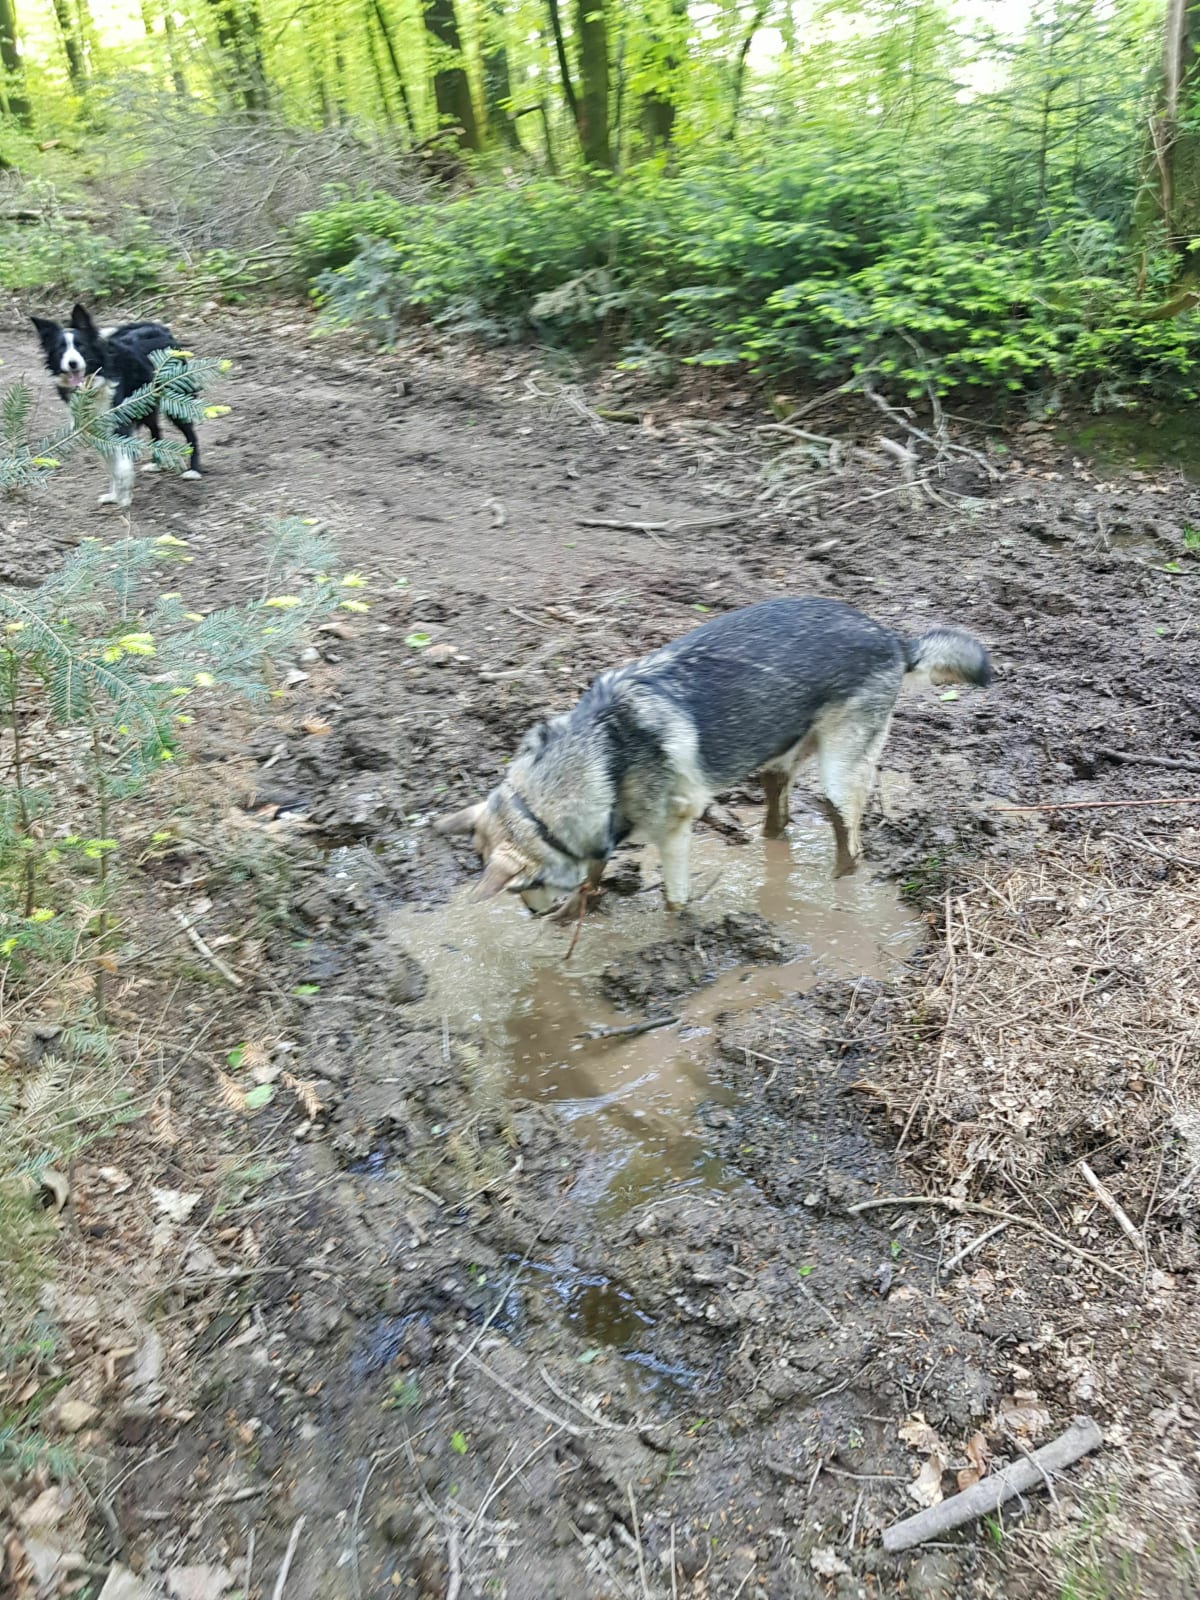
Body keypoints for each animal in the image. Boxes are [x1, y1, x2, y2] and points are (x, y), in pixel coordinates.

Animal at [31, 304, 202, 508]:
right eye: (60, 349)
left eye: (80, 346)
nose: (72, 363)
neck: (95, 381)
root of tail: (159, 328)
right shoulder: (97, 430)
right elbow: (110, 467)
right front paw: (114, 495)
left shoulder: (118, 425)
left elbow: (121, 465)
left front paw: (125, 497)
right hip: (145, 405)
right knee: (156, 429)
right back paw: (157, 463)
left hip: (175, 400)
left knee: (190, 433)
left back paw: (194, 470)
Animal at [436, 597, 991, 913]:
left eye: (519, 888)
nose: (534, 915)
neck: (603, 752)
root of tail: (893, 638)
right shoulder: (603, 833)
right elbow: (593, 875)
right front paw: (583, 909)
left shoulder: (674, 835)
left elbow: (673, 899)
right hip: (777, 759)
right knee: (778, 819)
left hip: (838, 776)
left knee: (849, 843)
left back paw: (835, 888)